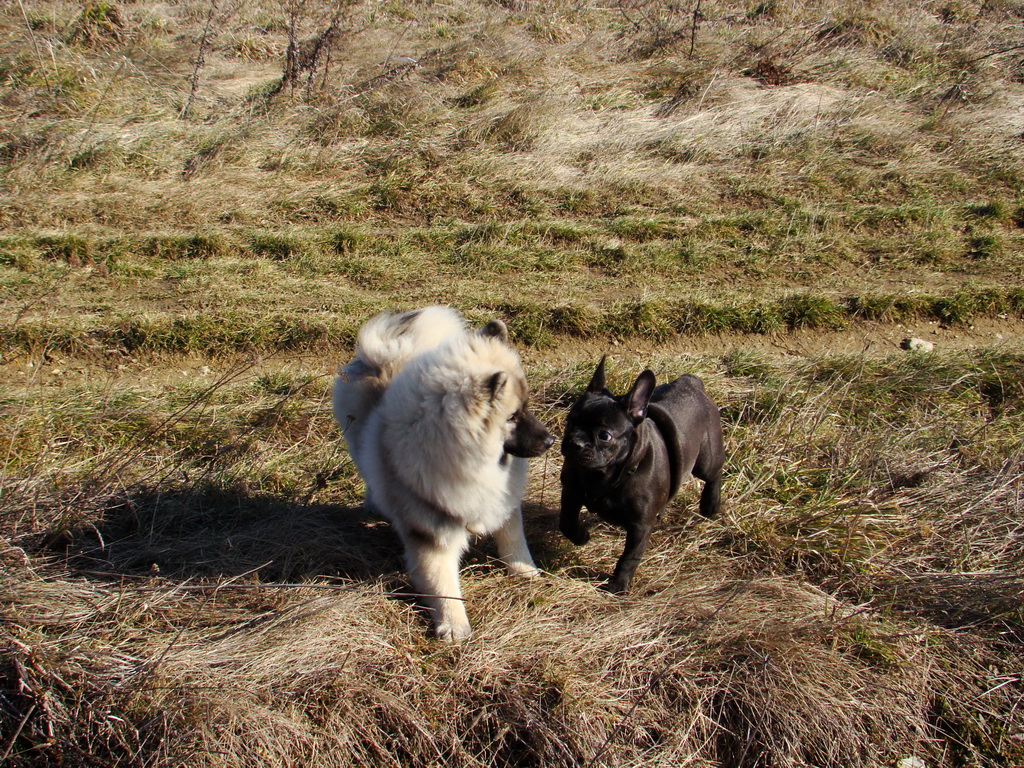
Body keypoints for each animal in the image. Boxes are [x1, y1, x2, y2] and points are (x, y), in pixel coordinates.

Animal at [561, 358, 729, 593]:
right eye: (569, 421)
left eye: (605, 436)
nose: (575, 442)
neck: (603, 474)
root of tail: (691, 382)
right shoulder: (571, 492)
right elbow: (566, 522)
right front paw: (581, 537)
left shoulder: (640, 527)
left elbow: (629, 558)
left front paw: (617, 586)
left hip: (706, 461)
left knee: (714, 474)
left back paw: (710, 504)